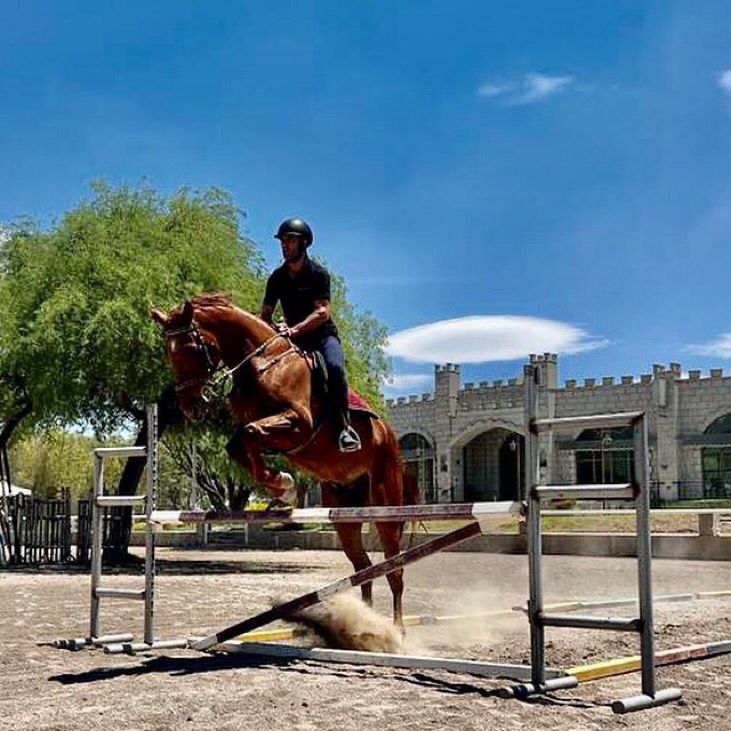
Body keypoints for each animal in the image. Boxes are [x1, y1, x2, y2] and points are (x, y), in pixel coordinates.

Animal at [151, 294, 418, 628]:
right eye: (167, 352)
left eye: (192, 348)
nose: (190, 407)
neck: (263, 364)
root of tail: (392, 439)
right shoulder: (257, 429)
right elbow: (238, 444)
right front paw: (281, 487)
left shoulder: (299, 423)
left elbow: (252, 434)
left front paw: (284, 486)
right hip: (344, 511)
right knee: (364, 567)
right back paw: (365, 627)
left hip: (385, 503)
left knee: (394, 569)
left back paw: (398, 632)